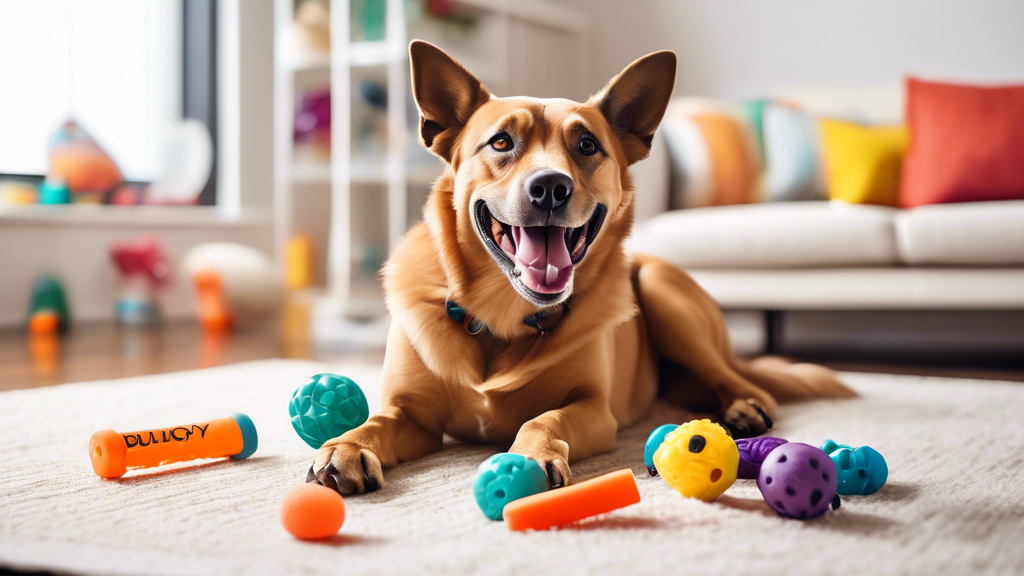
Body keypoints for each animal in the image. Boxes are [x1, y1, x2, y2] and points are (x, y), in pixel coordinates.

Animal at [305, 41, 856, 494]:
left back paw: (741, 406)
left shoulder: (594, 410)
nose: (551, 187)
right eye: (501, 142)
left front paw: (531, 455)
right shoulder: (412, 415)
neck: (501, 319)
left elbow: (543, 420)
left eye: (587, 145)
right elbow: (376, 421)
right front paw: (347, 445)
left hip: (663, 292)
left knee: (740, 378)